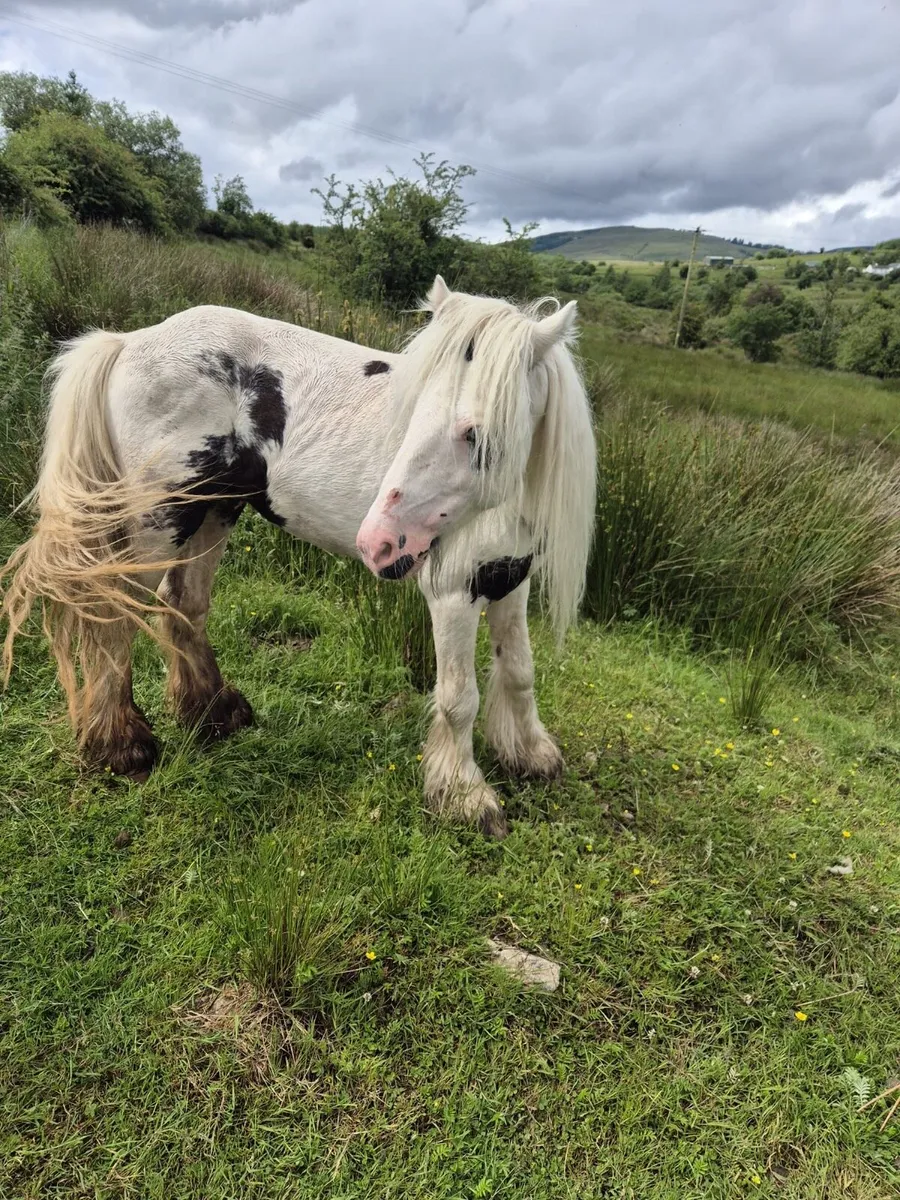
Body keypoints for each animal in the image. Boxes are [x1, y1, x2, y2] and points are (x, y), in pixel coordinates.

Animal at [1, 275, 596, 838]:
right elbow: (458, 697)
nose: (378, 541)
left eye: (477, 435)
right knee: (116, 618)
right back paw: (123, 748)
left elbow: (519, 669)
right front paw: (465, 797)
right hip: (158, 521)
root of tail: (129, 341)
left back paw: (214, 714)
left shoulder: (510, 579)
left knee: (184, 604)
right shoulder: (453, 593)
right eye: (411, 411)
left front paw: (531, 755)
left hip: (215, 509)